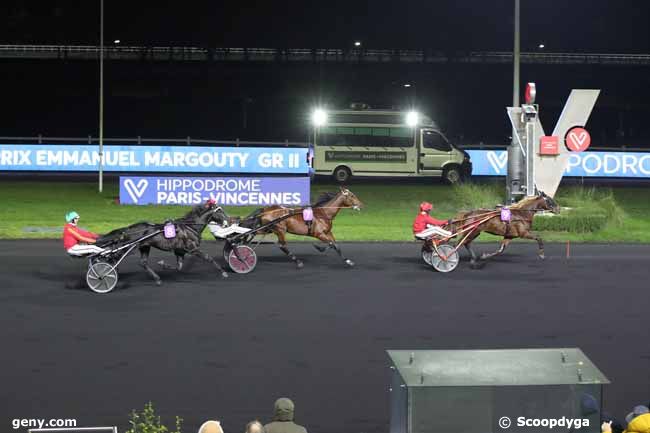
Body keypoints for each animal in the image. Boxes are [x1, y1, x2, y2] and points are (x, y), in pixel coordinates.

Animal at [96, 199, 228, 284]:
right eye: (219, 212)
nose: (227, 222)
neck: (190, 227)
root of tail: (129, 228)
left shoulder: (179, 251)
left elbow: (179, 267)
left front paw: (162, 264)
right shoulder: (192, 249)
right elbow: (208, 258)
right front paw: (223, 272)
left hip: (144, 246)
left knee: (143, 263)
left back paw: (157, 279)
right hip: (130, 247)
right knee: (114, 256)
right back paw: (106, 271)